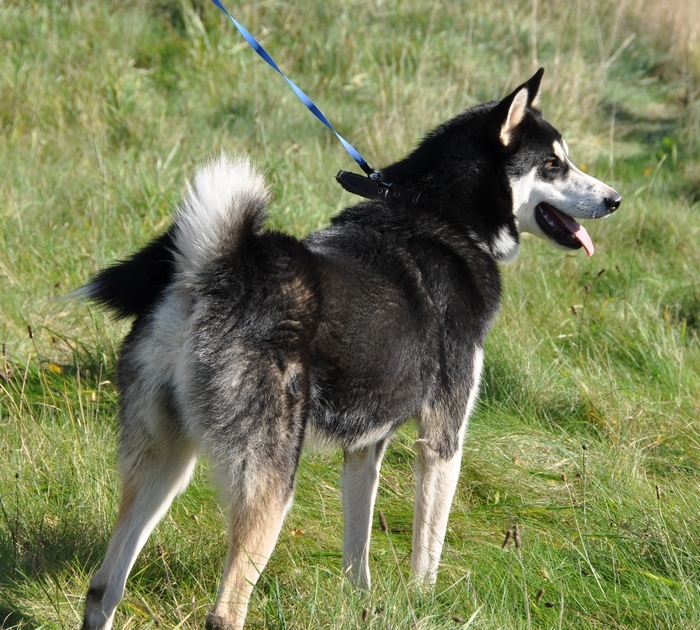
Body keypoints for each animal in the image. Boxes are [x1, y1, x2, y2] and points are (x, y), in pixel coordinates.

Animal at [79, 70, 620, 630]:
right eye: (553, 164)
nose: (615, 199)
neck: (440, 215)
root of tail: (210, 274)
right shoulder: (442, 440)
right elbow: (428, 548)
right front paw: (422, 605)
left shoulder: (365, 445)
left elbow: (356, 545)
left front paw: (360, 604)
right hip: (269, 483)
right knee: (225, 611)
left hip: (161, 465)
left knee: (103, 587)